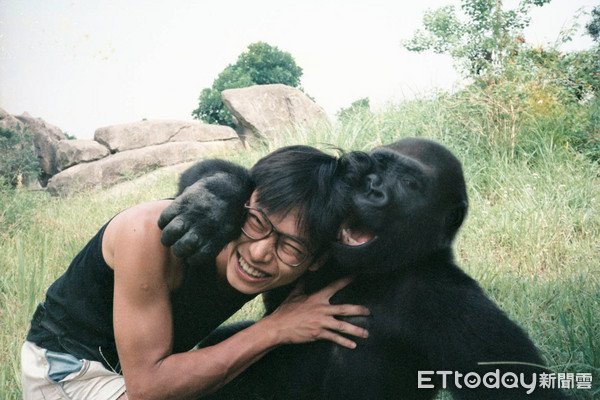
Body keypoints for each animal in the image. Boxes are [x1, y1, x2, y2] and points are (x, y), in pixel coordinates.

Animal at [157, 138, 568, 400]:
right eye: (375, 166)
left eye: (409, 183)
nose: (371, 188)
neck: (375, 273)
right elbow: (210, 171)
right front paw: (214, 201)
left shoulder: (454, 307)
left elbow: (516, 381)